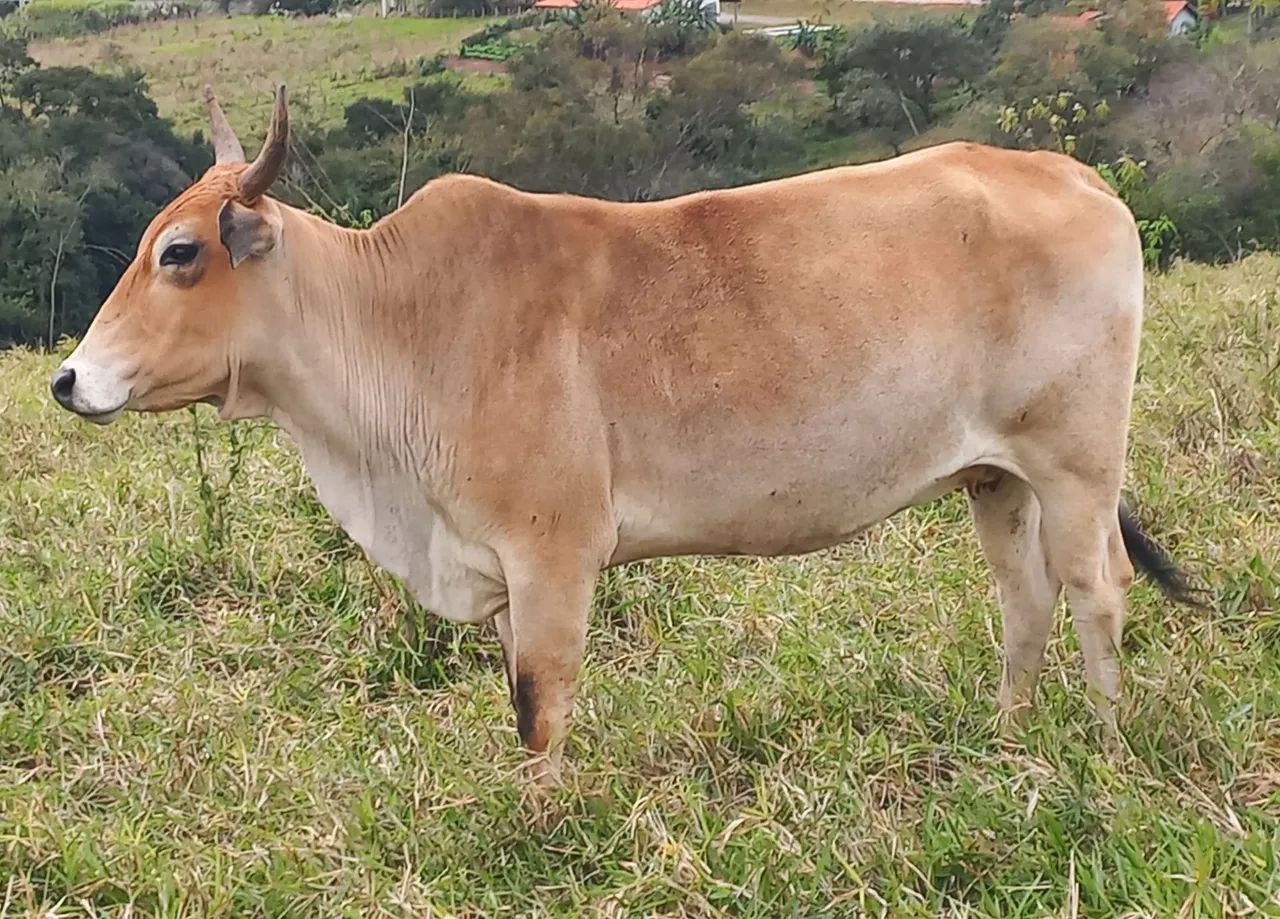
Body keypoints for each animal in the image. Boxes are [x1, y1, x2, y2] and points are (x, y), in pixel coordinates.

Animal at [51, 86, 1202, 785]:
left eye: (182, 252)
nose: (68, 379)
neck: (400, 321)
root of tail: (1073, 173)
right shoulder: (501, 573)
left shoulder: (554, 555)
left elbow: (541, 704)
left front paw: (545, 822)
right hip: (993, 474)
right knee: (1025, 600)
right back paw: (1007, 742)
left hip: (1075, 461)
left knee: (1096, 588)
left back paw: (1105, 752)